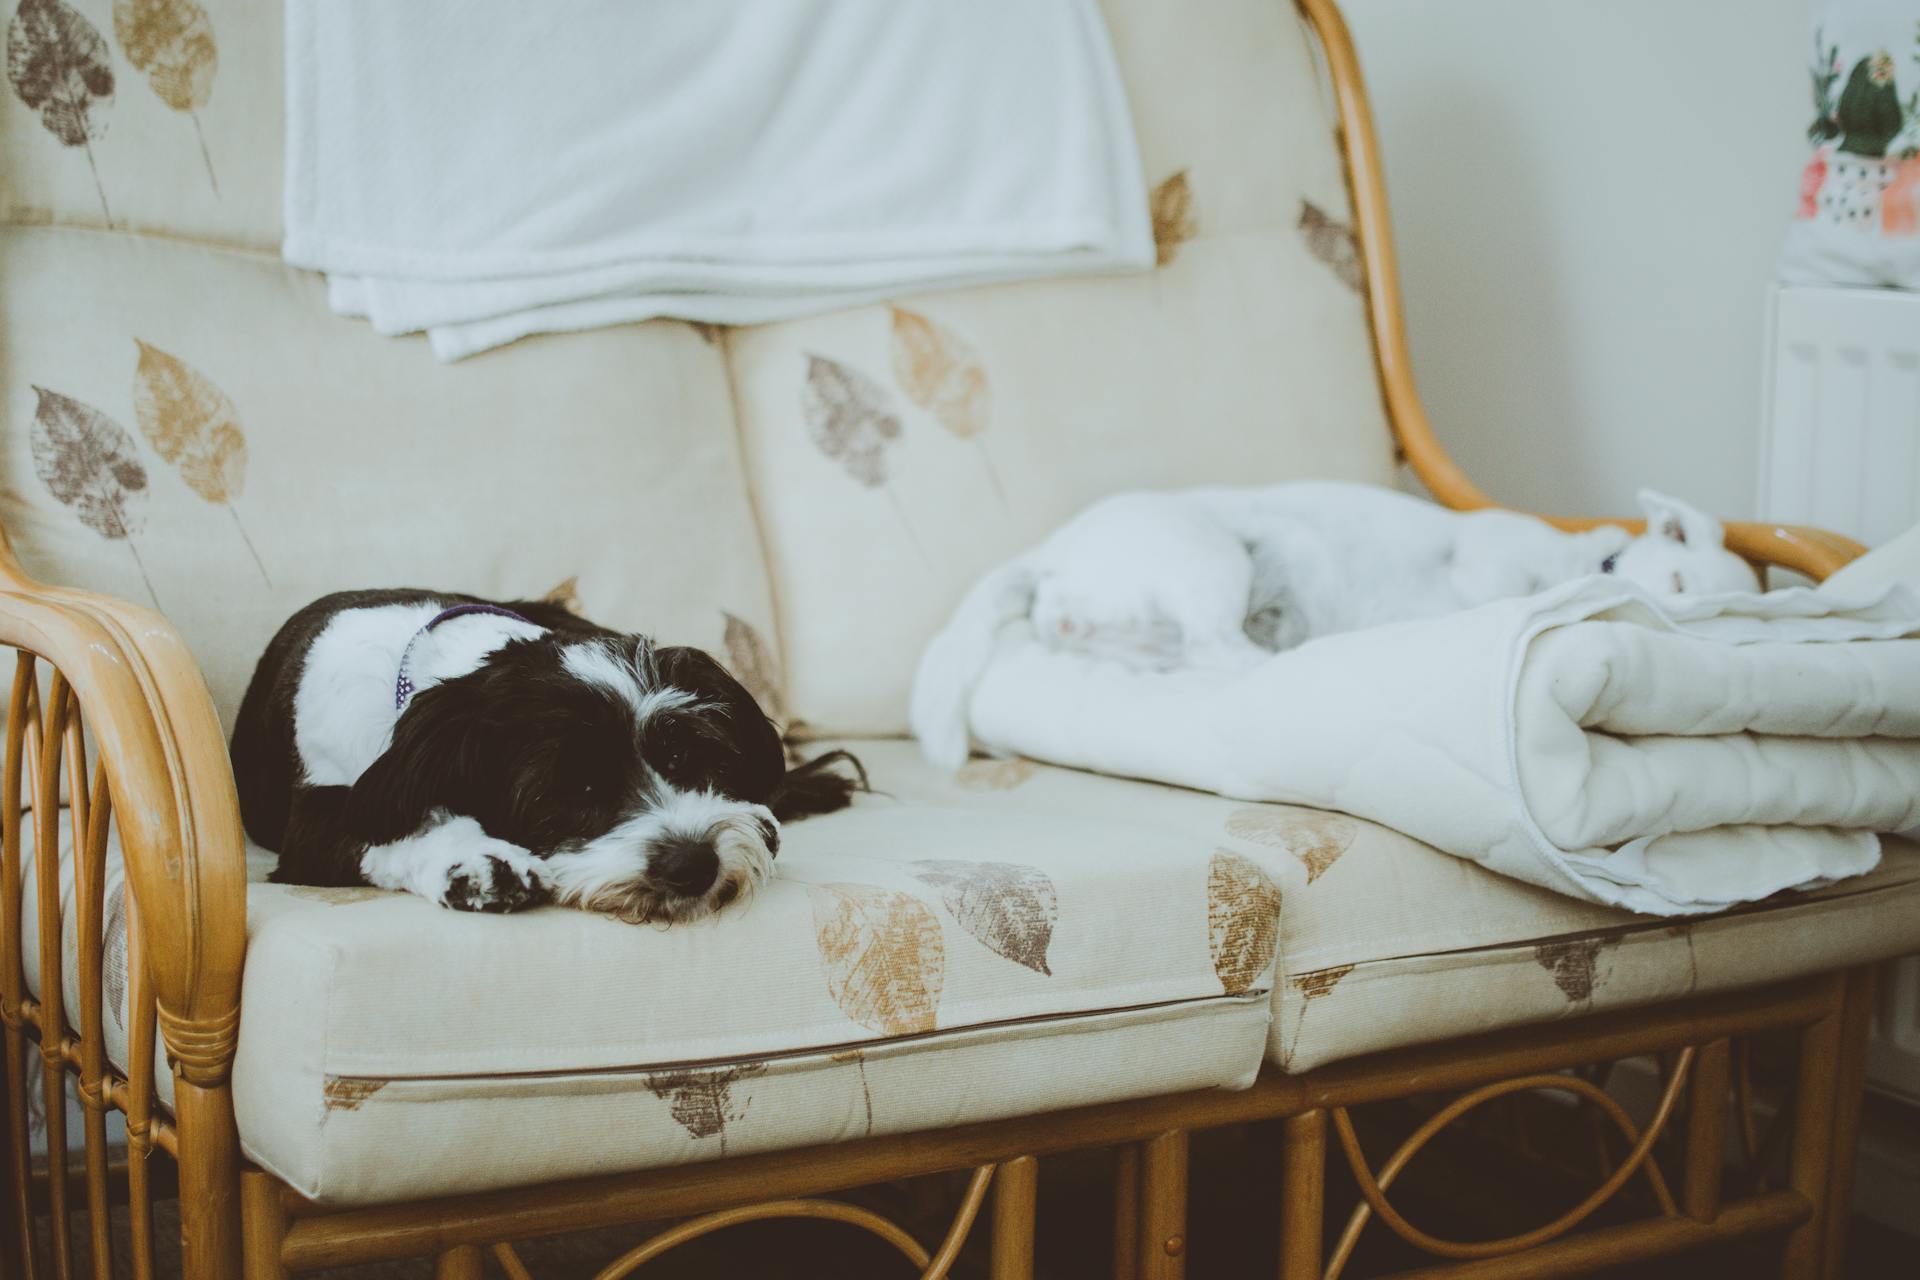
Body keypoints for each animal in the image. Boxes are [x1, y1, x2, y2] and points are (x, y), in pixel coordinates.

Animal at [228, 591, 860, 921]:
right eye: (574, 790)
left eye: (684, 758)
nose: (693, 864)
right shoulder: (315, 821)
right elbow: (392, 827)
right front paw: (476, 858)